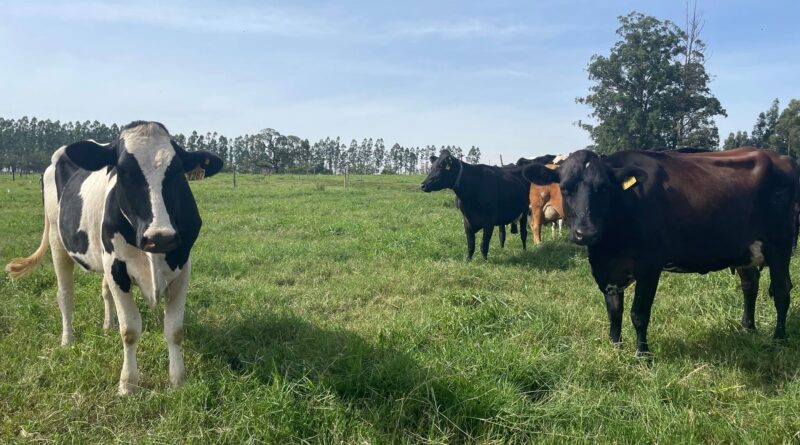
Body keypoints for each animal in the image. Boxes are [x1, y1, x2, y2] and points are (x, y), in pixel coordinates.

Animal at [4, 121, 223, 394]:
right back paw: (68, 340)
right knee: (65, 294)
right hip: (57, 238)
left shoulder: (183, 267)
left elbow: (175, 329)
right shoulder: (117, 267)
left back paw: (107, 326)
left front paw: (178, 380)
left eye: (177, 173)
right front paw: (128, 384)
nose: (160, 236)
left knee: (104, 291)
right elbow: (130, 329)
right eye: (124, 172)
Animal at [522, 147, 799, 355]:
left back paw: (779, 338)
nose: (585, 233)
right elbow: (614, 311)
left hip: (781, 244)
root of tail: (781, 157)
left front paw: (643, 354)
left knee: (782, 290)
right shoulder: (608, 271)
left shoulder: (649, 266)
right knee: (750, 285)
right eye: (565, 189)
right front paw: (615, 348)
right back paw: (748, 328)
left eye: (604, 188)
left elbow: (639, 313)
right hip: (747, 250)